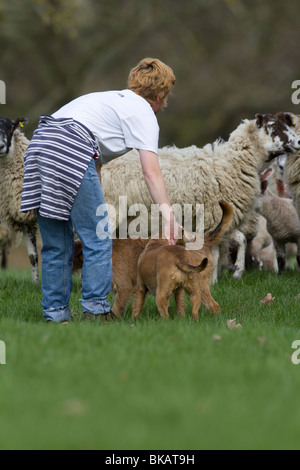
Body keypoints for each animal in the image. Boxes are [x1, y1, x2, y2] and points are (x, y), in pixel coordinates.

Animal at [101, 114, 300, 280]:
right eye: (274, 127)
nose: (298, 142)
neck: (232, 164)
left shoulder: (222, 220)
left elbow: (240, 240)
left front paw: (237, 272)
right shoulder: (212, 218)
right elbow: (215, 253)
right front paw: (212, 280)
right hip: (112, 210)